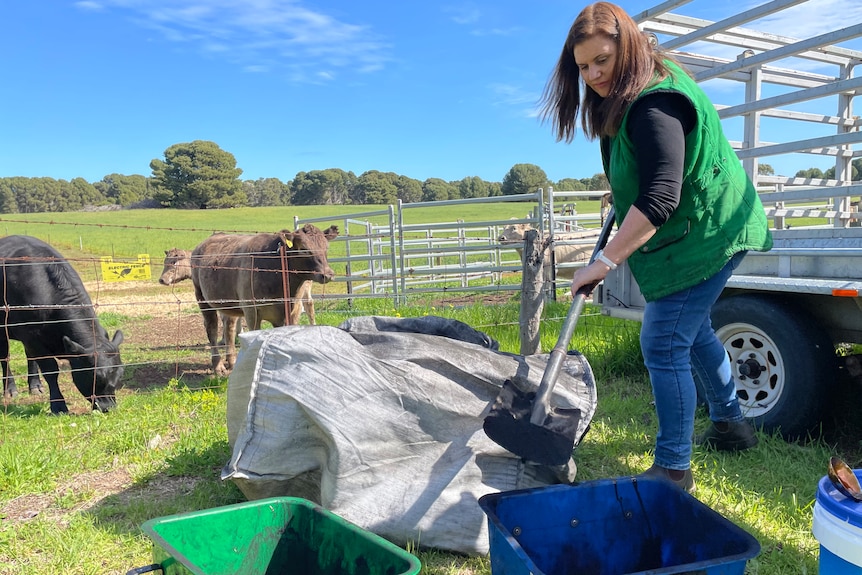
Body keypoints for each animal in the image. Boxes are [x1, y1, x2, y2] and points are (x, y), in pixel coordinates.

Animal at [0, 235, 125, 414]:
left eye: (120, 375)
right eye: (96, 376)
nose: (109, 408)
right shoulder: (32, 338)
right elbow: (50, 370)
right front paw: (58, 405)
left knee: (29, 357)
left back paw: (35, 386)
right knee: (5, 357)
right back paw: (10, 390)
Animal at [189, 225, 338, 378]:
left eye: (326, 247)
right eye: (303, 248)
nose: (327, 274)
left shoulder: (293, 311)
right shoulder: (251, 311)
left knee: (228, 326)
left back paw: (232, 361)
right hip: (202, 298)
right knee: (211, 328)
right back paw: (218, 366)